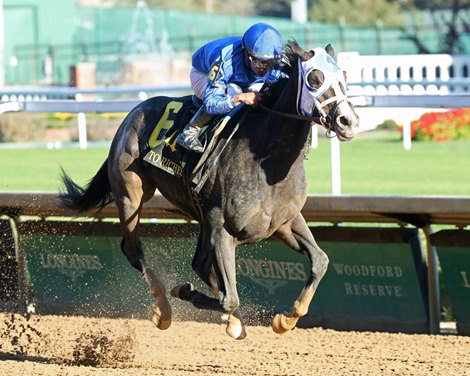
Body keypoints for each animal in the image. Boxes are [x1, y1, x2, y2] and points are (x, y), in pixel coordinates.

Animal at [59, 39, 360, 340]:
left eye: (344, 76)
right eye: (314, 78)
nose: (349, 121)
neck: (269, 161)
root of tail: (132, 114)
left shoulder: (284, 222)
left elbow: (320, 260)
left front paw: (285, 320)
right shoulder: (222, 230)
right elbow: (229, 298)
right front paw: (185, 291)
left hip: (201, 217)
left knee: (200, 264)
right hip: (131, 195)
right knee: (134, 250)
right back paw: (164, 309)